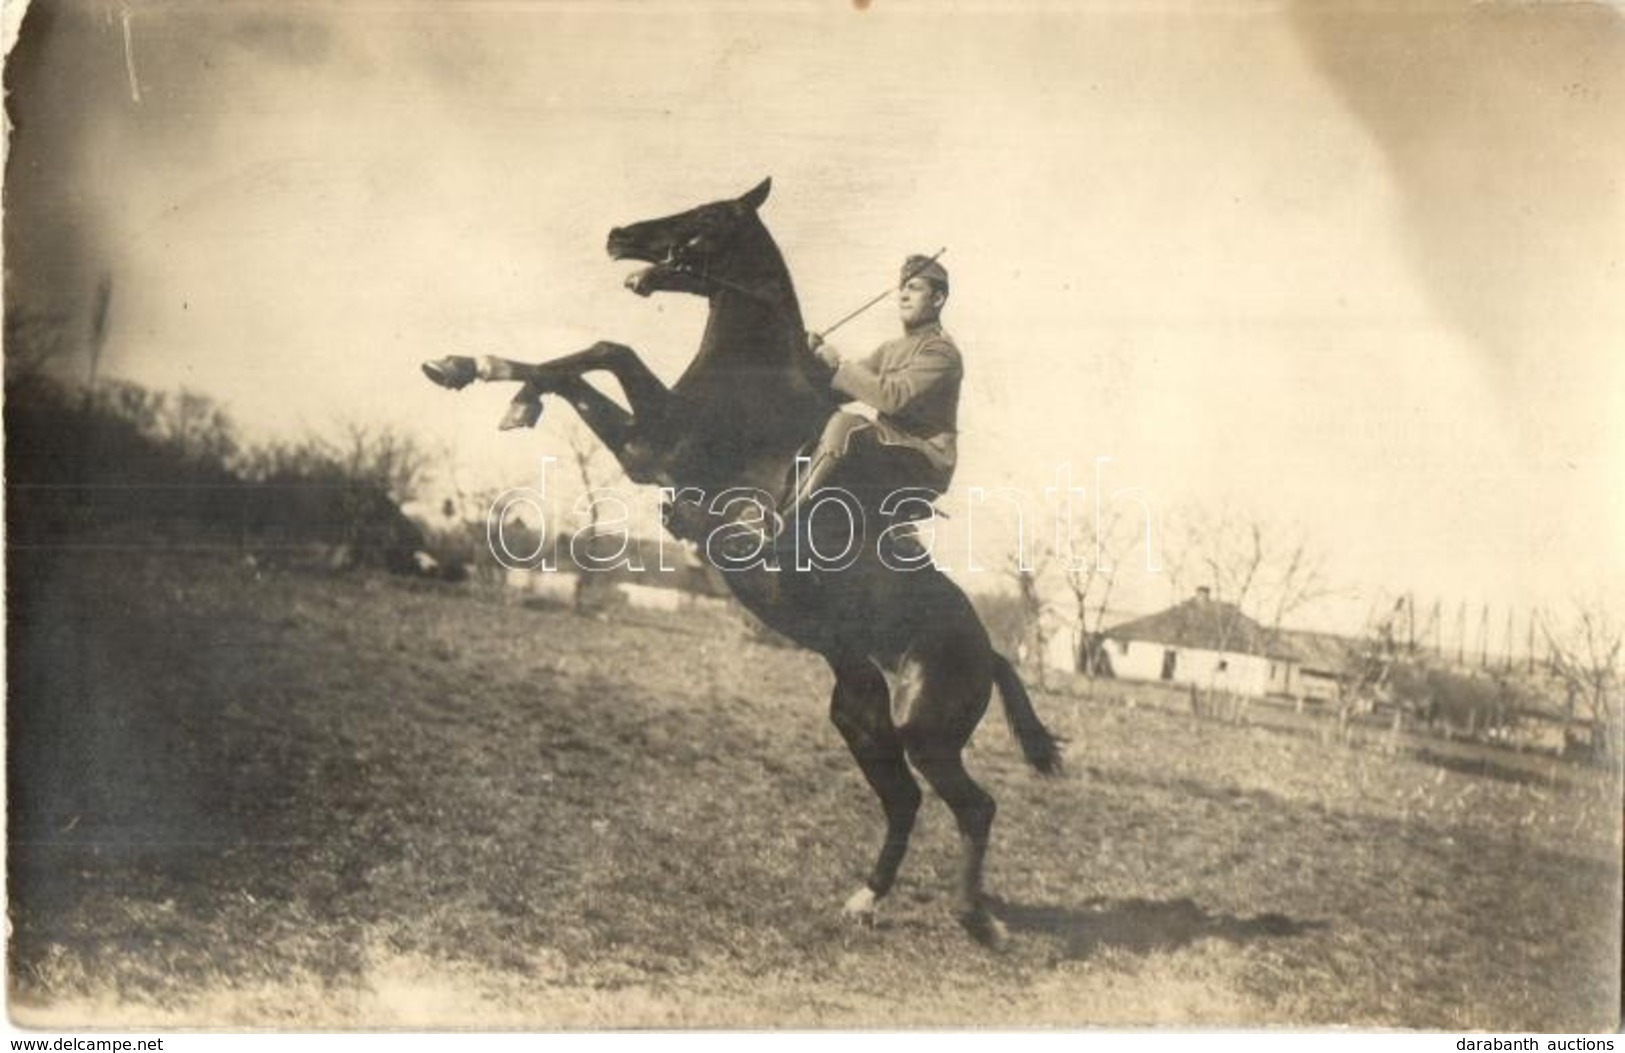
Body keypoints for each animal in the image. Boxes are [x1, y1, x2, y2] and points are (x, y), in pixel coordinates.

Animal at [419, 178, 1059, 949]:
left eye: (709, 216)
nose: (617, 234)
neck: (754, 378)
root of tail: (988, 650)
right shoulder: (648, 444)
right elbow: (599, 356)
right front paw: (478, 375)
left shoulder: (654, 446)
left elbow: (608, 350)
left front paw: (491, 380)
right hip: (859, 714)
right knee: (905, 800)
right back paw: (865, 899)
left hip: (925, 731)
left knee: (975, 806)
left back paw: (975, 917)